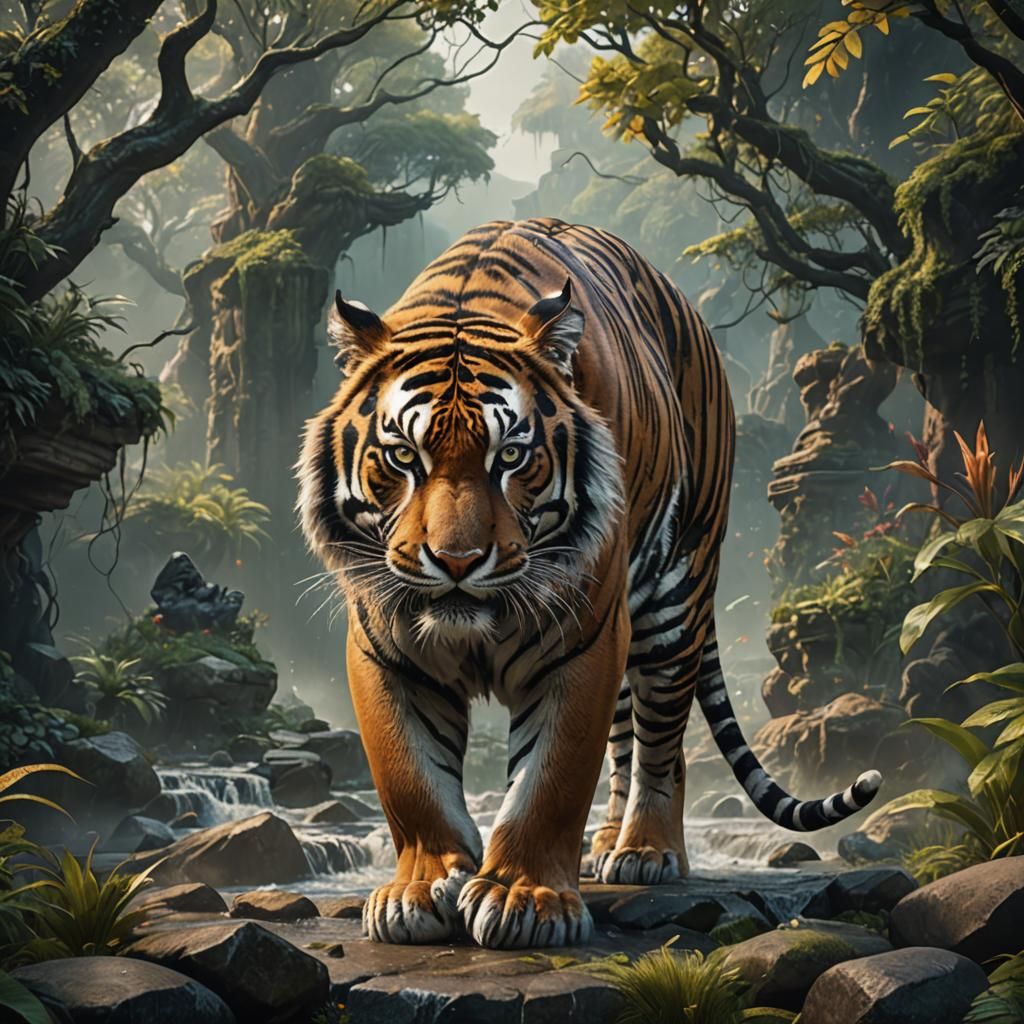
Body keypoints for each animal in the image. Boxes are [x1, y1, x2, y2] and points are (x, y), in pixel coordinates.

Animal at [297, 218, 881, 950]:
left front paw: (523, 899)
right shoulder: (385, 645)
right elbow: (410, 776)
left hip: (672, 599)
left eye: (511, 457)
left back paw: (644, 851)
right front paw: (418, 891)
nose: (457, 561)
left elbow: (551, 777)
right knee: (627, 736)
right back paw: (604, 845)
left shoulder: (583, 638)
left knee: (662, 739)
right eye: (404, 457)